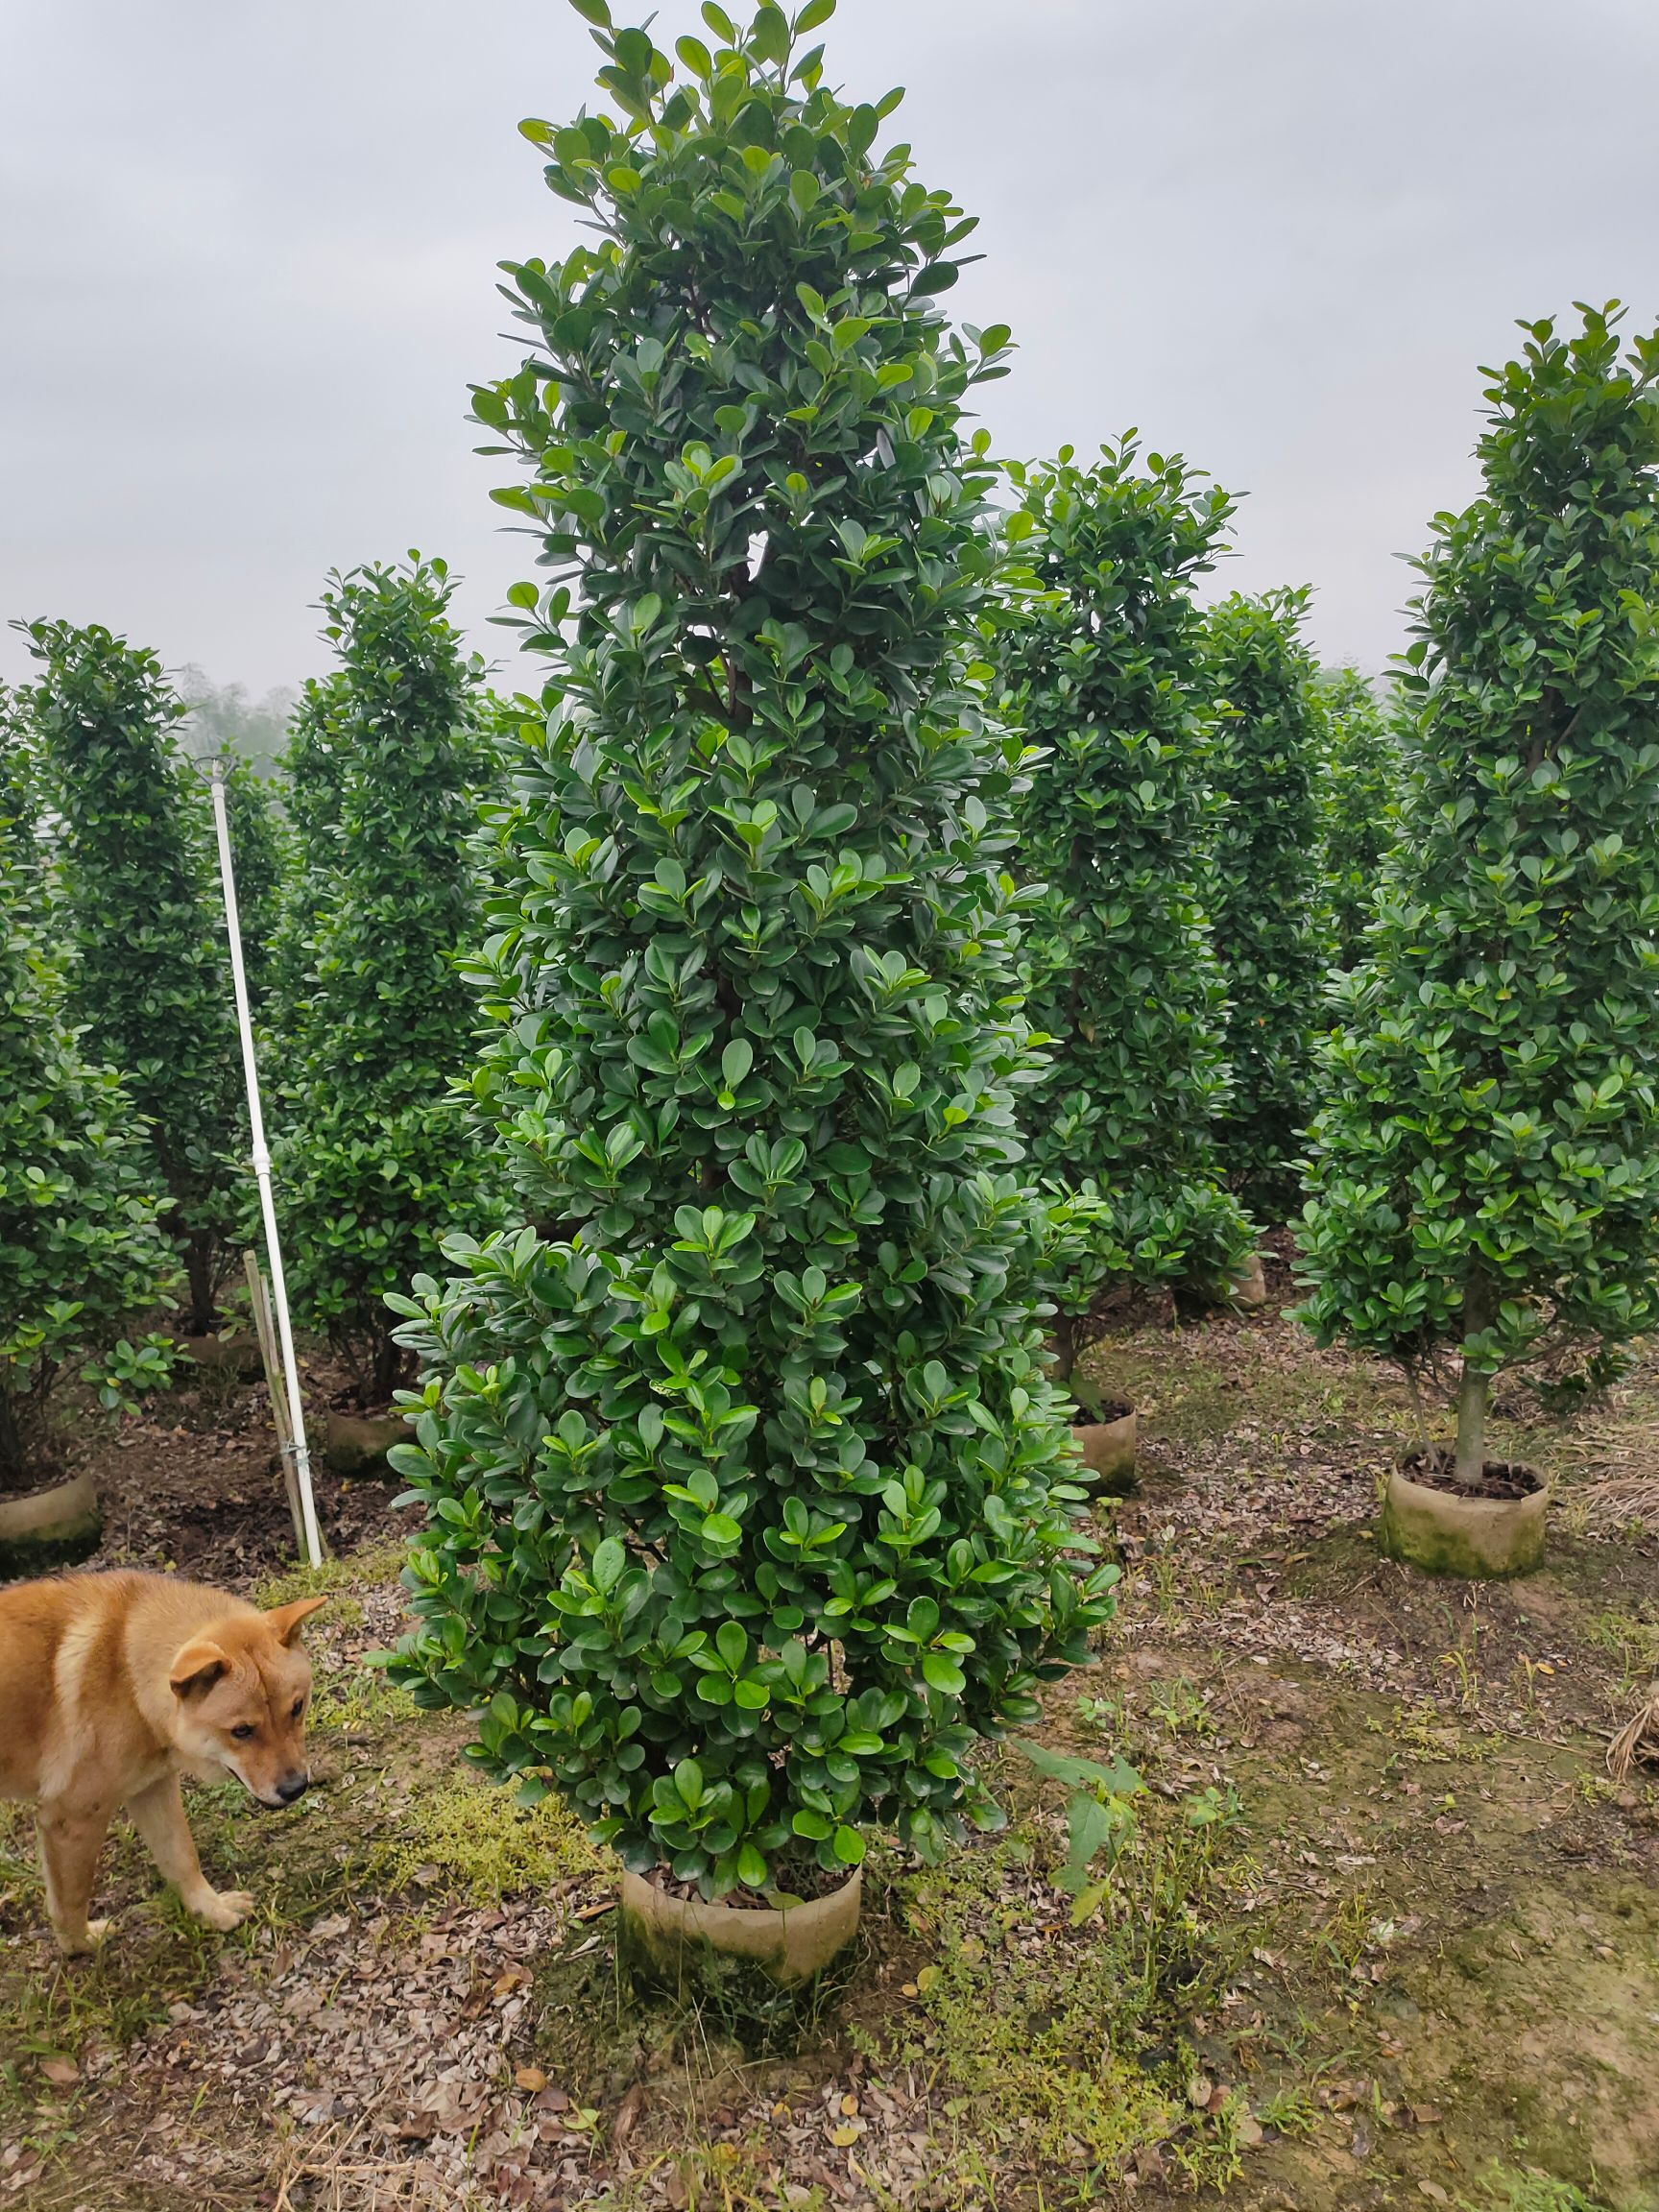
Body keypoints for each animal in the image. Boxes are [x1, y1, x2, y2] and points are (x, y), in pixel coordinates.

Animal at [0, 1575, 326, 1955]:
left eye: (297, 1707)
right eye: (241, 1731)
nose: (296, 1788)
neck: (125, 1670)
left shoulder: (152, 1789)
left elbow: (182, 1857)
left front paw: (212, 1911)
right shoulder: (70, 1818)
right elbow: (72, 1897)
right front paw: (79, 1945)